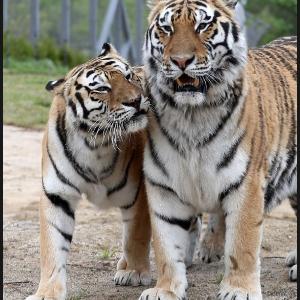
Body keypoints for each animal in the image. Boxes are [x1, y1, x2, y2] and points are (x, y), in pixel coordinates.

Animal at [25, 42, 152, 300]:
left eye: (128, 76)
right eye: (102, 88)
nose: (136, 101)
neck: (95, 143)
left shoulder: (139, 192)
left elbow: (136, 235)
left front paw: (134, 272)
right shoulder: (57, 195)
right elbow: (52, 246)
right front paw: (47, 292)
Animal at [139, 0, 296, 300]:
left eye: (203, 25)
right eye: (167, 28)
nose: (181, 61)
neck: (191, 116)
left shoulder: (247, 183)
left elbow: (242, 244)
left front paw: (239, 290)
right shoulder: (163, 187)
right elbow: (166, 246)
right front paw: (165, 289)